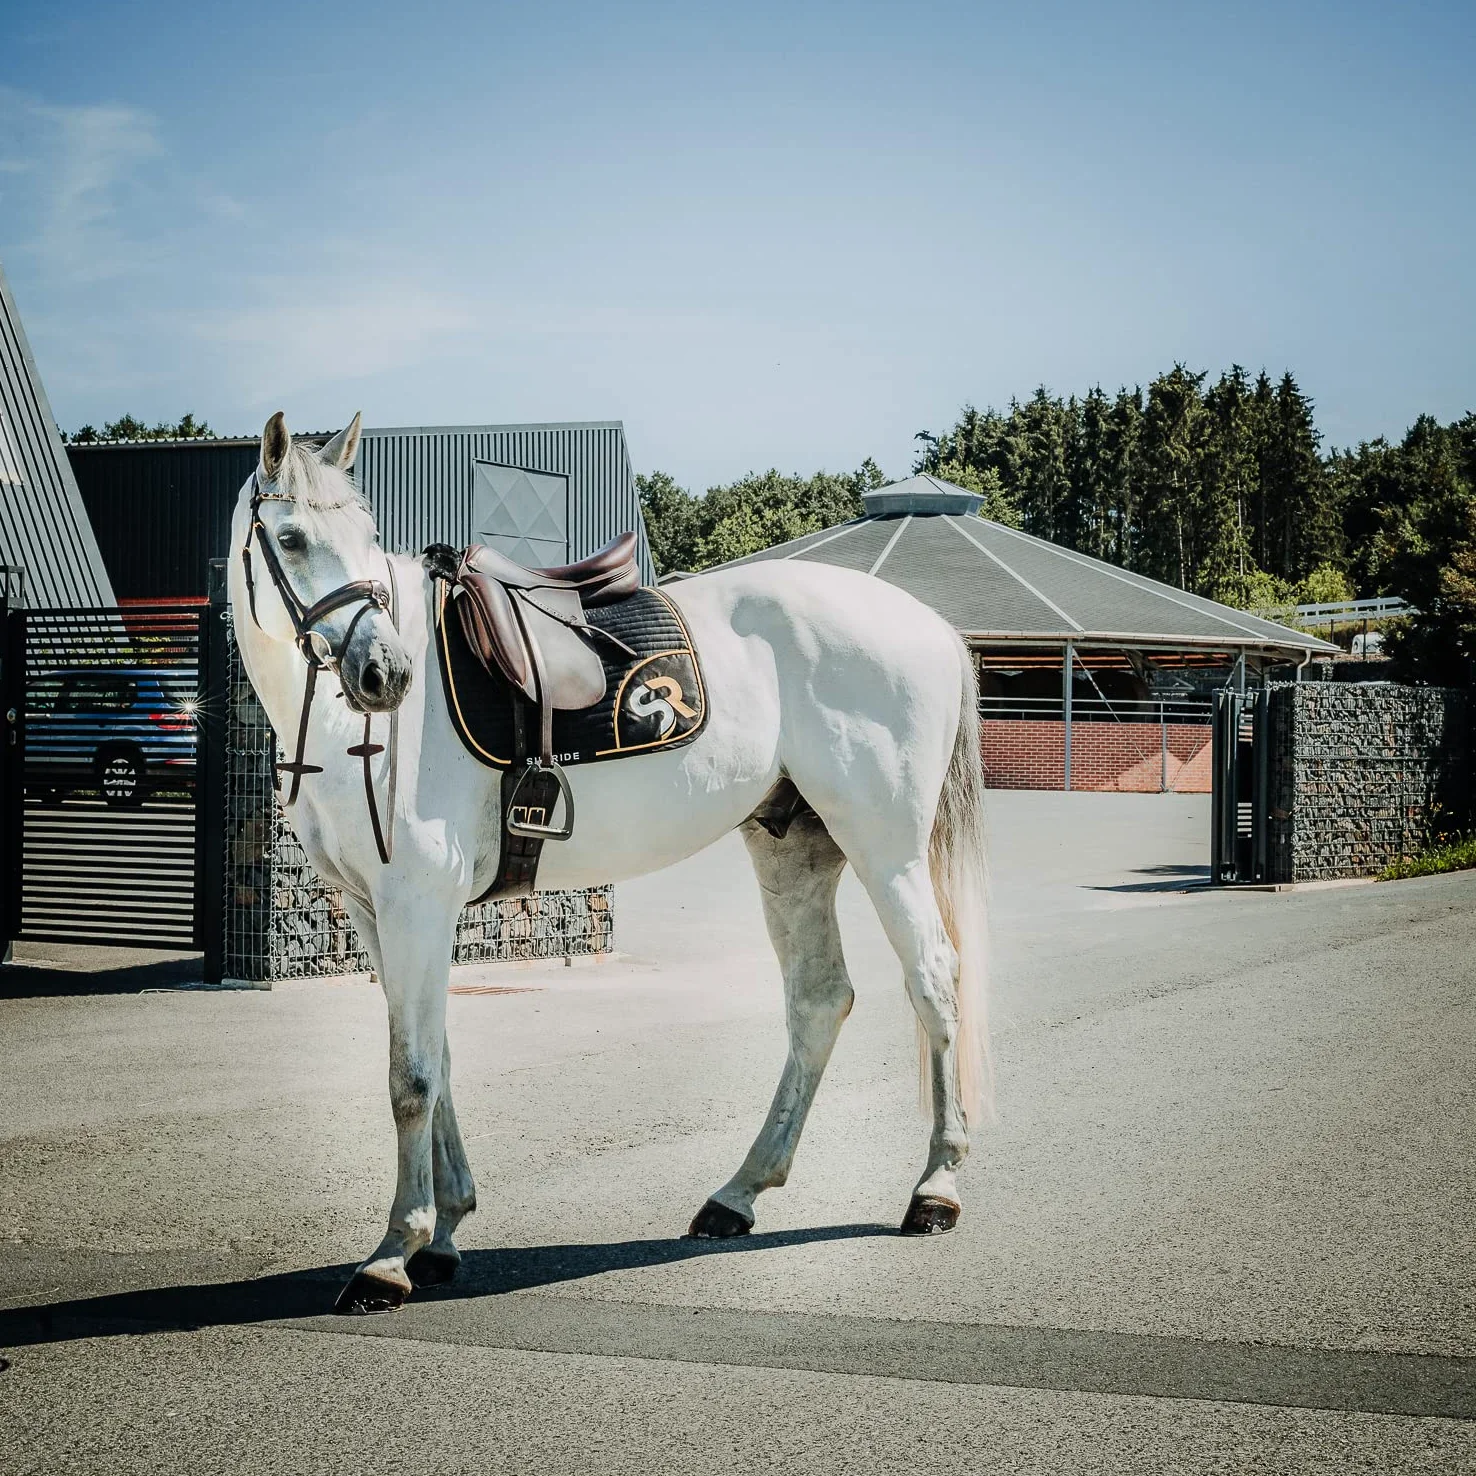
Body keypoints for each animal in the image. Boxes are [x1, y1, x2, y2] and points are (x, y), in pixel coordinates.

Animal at [229, 411, 991, 1314]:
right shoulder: (375, 911)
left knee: (933, 981)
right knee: (818, 1000)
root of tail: (928, 624)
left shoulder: (418, 901)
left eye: (367, 537)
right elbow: (435, 1059)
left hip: (885, 845)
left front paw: (391, 1254)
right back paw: (738, 1194)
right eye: (291, 537)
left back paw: (935, 1188)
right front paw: (444, 1234)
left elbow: (410, 1076)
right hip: (794, 848)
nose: (387, 673)